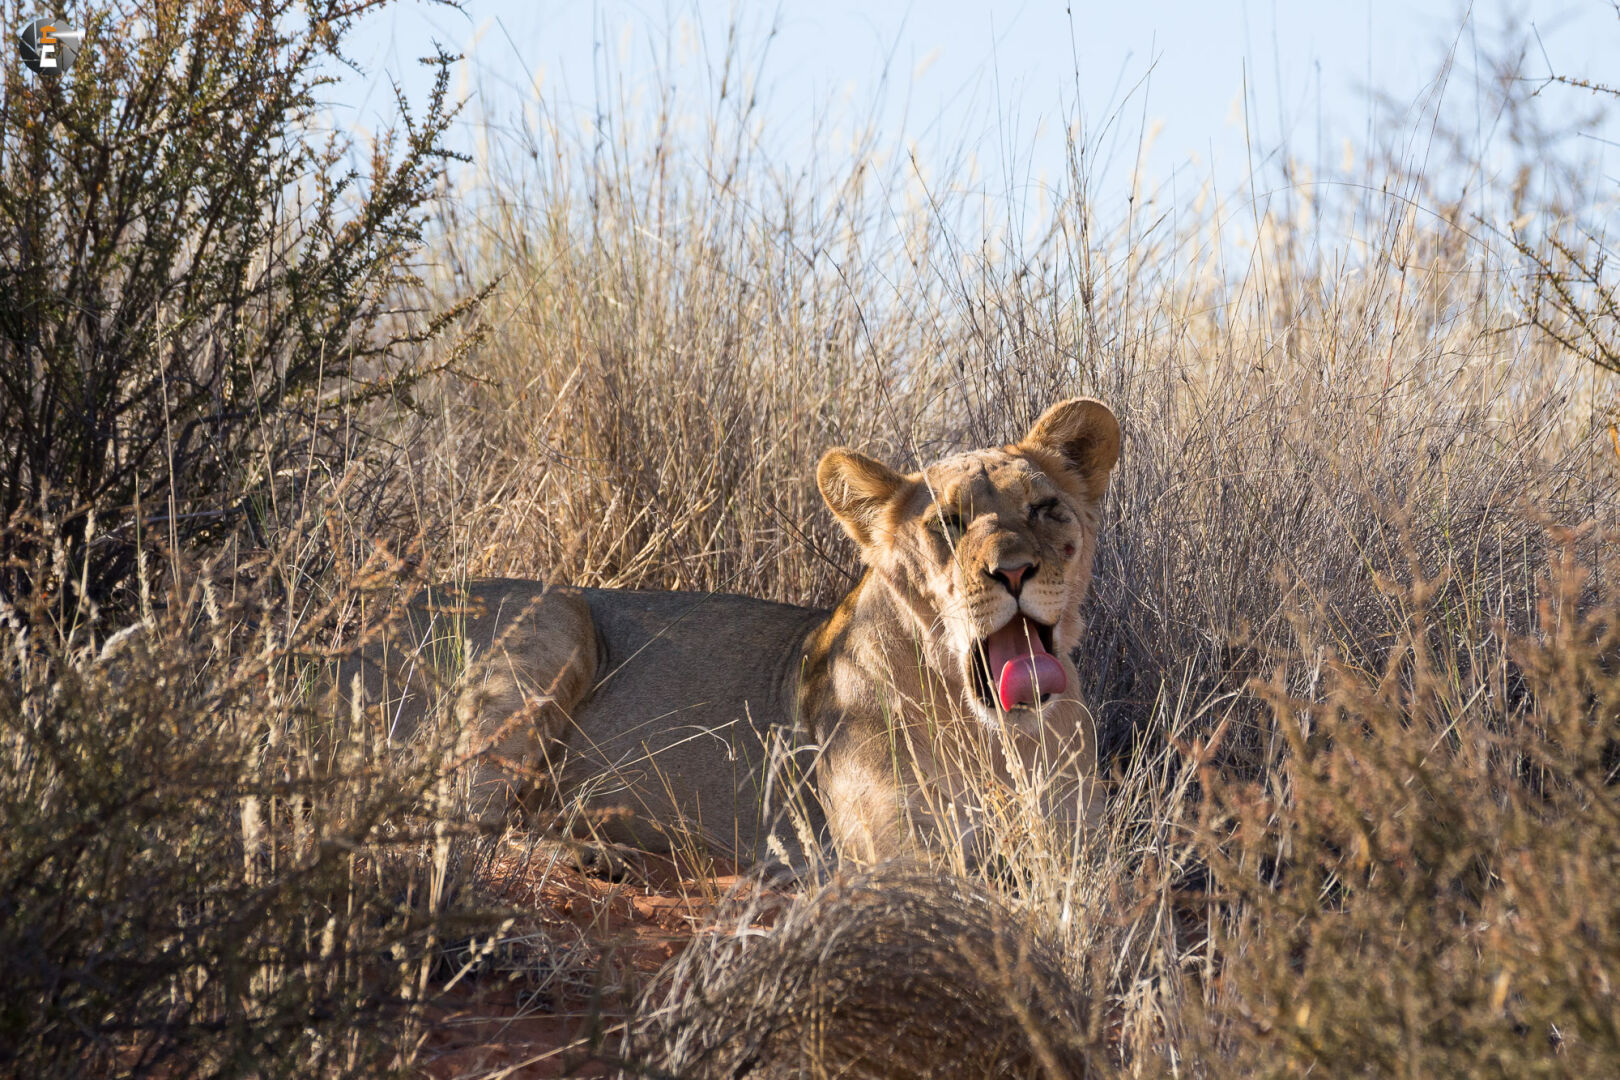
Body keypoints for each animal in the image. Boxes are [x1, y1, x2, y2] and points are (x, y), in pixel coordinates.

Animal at [344, 398, 1119, 870]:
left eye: (1044, 508)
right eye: (947, 525)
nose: (1013, 571)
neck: (983, 734)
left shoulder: (1079, 837)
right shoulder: (886, 847)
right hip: (555, 613)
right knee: (437, 827)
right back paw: (589, 851)